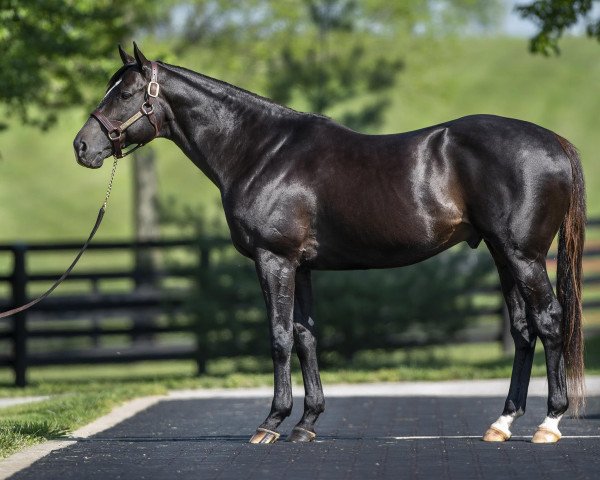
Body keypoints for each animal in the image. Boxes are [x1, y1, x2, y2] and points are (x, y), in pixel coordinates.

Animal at [72, 43, 584, 444]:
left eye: (125, 93)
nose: (82, 147)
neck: (261, 151)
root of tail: (555, 142)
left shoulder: (273, 259)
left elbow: (279, 337)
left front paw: (271, 422)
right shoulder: (300, 266)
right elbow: (305, 336)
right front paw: (307, 423)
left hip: (524, 256)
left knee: (549, 321)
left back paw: (550, 422)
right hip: (502, 253)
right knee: (523, 330)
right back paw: (502, 423)